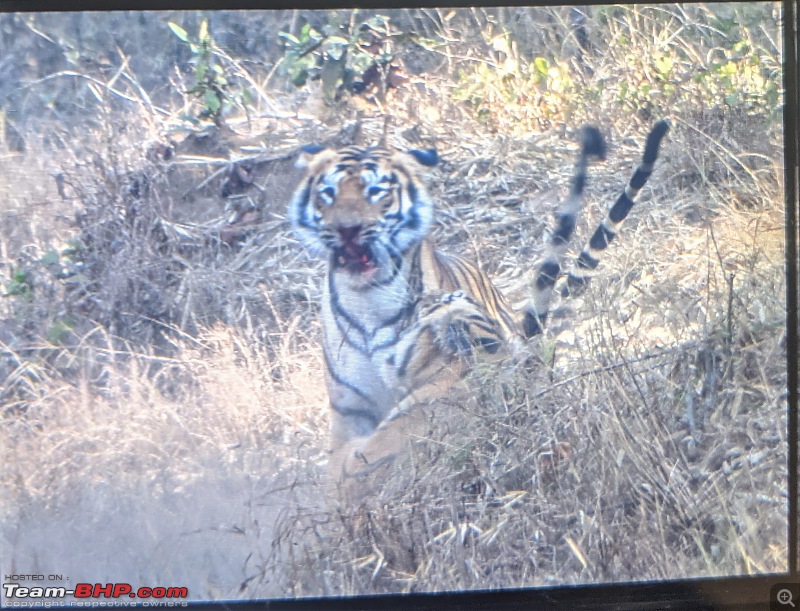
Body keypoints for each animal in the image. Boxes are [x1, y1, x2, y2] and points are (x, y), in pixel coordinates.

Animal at [288, 120, 668, 498]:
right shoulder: (350, 409)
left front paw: (354, 473)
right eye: (327, 193)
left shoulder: (449, 382)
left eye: (376, 191)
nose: (347, 230)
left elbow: (386, 441)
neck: (368, 301)